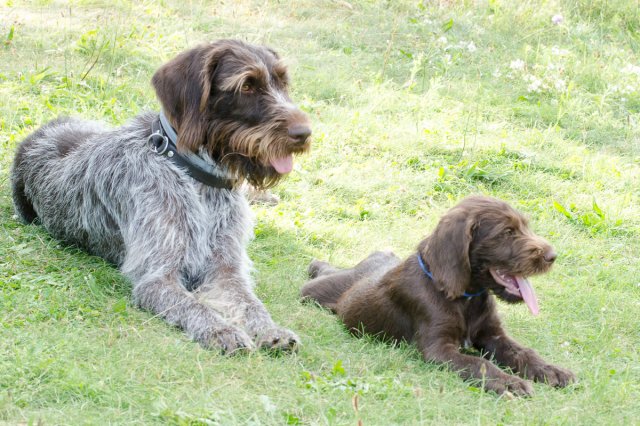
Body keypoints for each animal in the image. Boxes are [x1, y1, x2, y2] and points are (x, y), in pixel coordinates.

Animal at [11, 39, 311, 354]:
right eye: (247, 86)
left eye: (282, 82)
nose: (304, 133)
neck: (195, 179)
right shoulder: (158, 278)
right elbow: (195, 307)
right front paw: (221, 330)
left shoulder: (226, 270)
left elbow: (250, 303)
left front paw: (271, 329)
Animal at [301, 196, 575, 395]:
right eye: (507, 232)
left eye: (525, 226)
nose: (552, 256)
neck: (466, 296)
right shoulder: (439, 349)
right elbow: (480, 364)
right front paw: (508, 382)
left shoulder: (494, 335)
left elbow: (524, 352)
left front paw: (550, 369)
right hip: (319, 291)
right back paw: (316, 264)